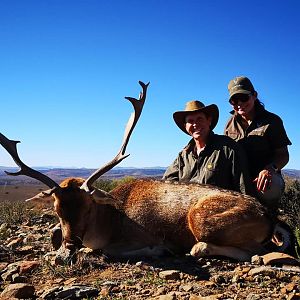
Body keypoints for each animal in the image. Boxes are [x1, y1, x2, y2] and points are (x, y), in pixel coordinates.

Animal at [0, 81, 290, 264]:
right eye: (56, 210)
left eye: (88, 207)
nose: (68, 248)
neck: (110, 223)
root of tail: (270, 217)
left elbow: (111, 251)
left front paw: (158, 250)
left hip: (201, 219)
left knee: (253, 252)